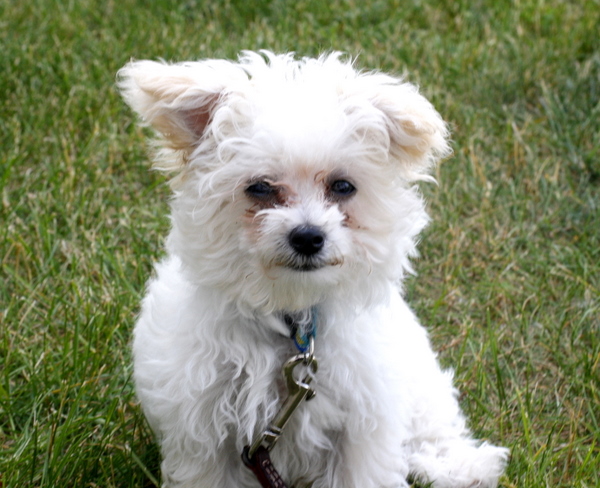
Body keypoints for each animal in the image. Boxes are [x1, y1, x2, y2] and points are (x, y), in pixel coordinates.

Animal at [119, 51, 508, 486]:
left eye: (342, 186)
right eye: (259, 188)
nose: (307, 236)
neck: (292, 323)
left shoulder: (363, 421)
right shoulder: (205, 431)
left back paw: (461, 466)